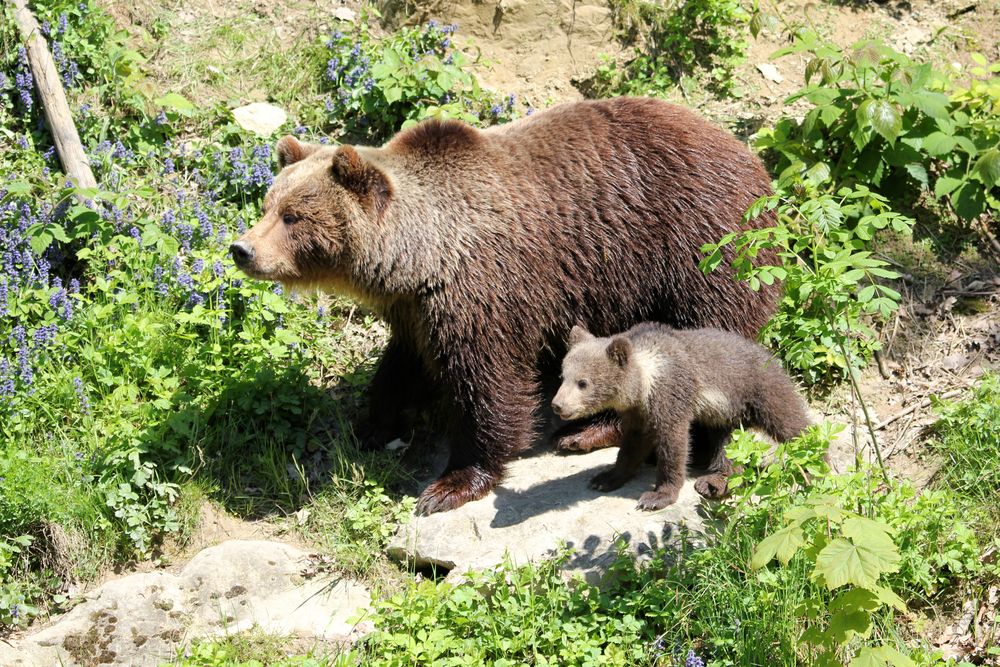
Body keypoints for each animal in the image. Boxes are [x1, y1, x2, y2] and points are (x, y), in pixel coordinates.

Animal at [230, 94, 776, 516]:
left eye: (294, 216)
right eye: (268, 205)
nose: (242, 249)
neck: (421, 257)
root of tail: (755, 163)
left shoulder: (485, 293)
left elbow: (489, 386)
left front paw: (450, 484)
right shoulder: (417, 310)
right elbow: (403, 366)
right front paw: (373, 424)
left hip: (698, 252)